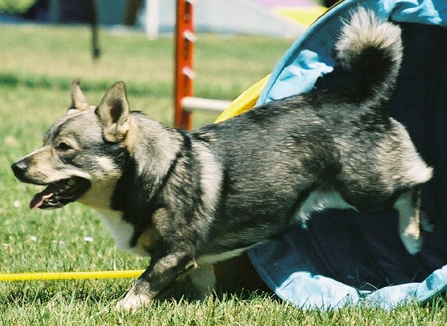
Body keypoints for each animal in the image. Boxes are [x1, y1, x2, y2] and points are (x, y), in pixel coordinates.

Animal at [10, 7, 434, 308]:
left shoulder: (174, 254)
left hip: (366, 188)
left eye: (65, 148)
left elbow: (139, 287)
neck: (154, 175)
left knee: (417, 181)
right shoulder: (196, 261)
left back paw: (414, 237)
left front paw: (116, 311)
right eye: (44, 141)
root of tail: (366, 98)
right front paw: (204, 309)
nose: (16, 167)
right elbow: (204, 288)